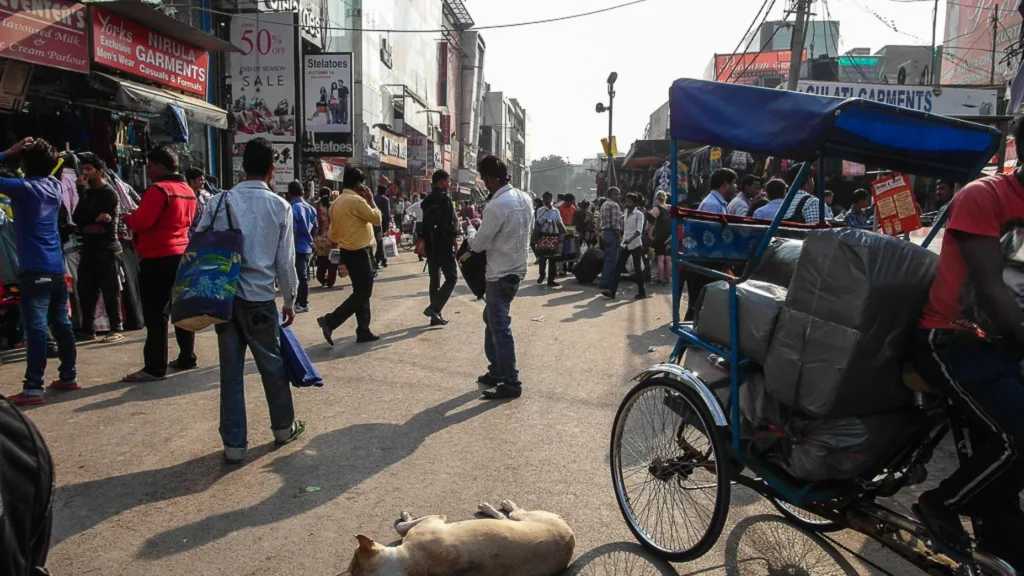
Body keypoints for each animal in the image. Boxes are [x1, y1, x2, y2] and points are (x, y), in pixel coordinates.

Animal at [339, 498, 573, 573]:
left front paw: (405, 516)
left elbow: (401, 527)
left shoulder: (433, 519)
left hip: (526, 518)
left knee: (512, 513)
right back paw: (496, 508)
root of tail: (570, 540)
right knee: (506, 517)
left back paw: (503, 506)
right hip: (524, 520)